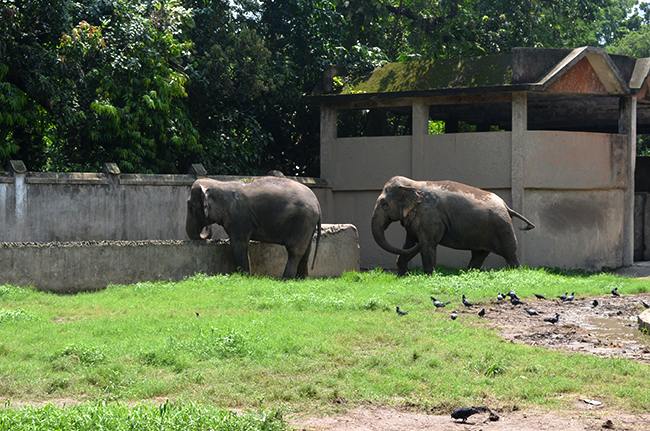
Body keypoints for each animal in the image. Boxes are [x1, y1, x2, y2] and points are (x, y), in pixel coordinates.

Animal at [186, 176, 321, 279]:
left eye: (190, 206)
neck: (220, 184)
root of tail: (317, 203)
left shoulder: (238, 218)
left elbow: (238, 245)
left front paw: (244, 277)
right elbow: (243, 246)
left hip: (302, 220)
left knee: (295, 250)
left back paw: (286, 279)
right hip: (308, 224)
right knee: (306, 251)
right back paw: (301, 279)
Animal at [371, 176, 535, 275]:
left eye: (385, 205)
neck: (412, 184)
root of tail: (506, 206)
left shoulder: (430, 216)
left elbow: (427, 243)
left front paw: (429, 276)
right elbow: (409, 243)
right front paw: (401, 276)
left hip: (502, 227)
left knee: (510, 252)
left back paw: (516, 272)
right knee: (479, 254)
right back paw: (470, 273)